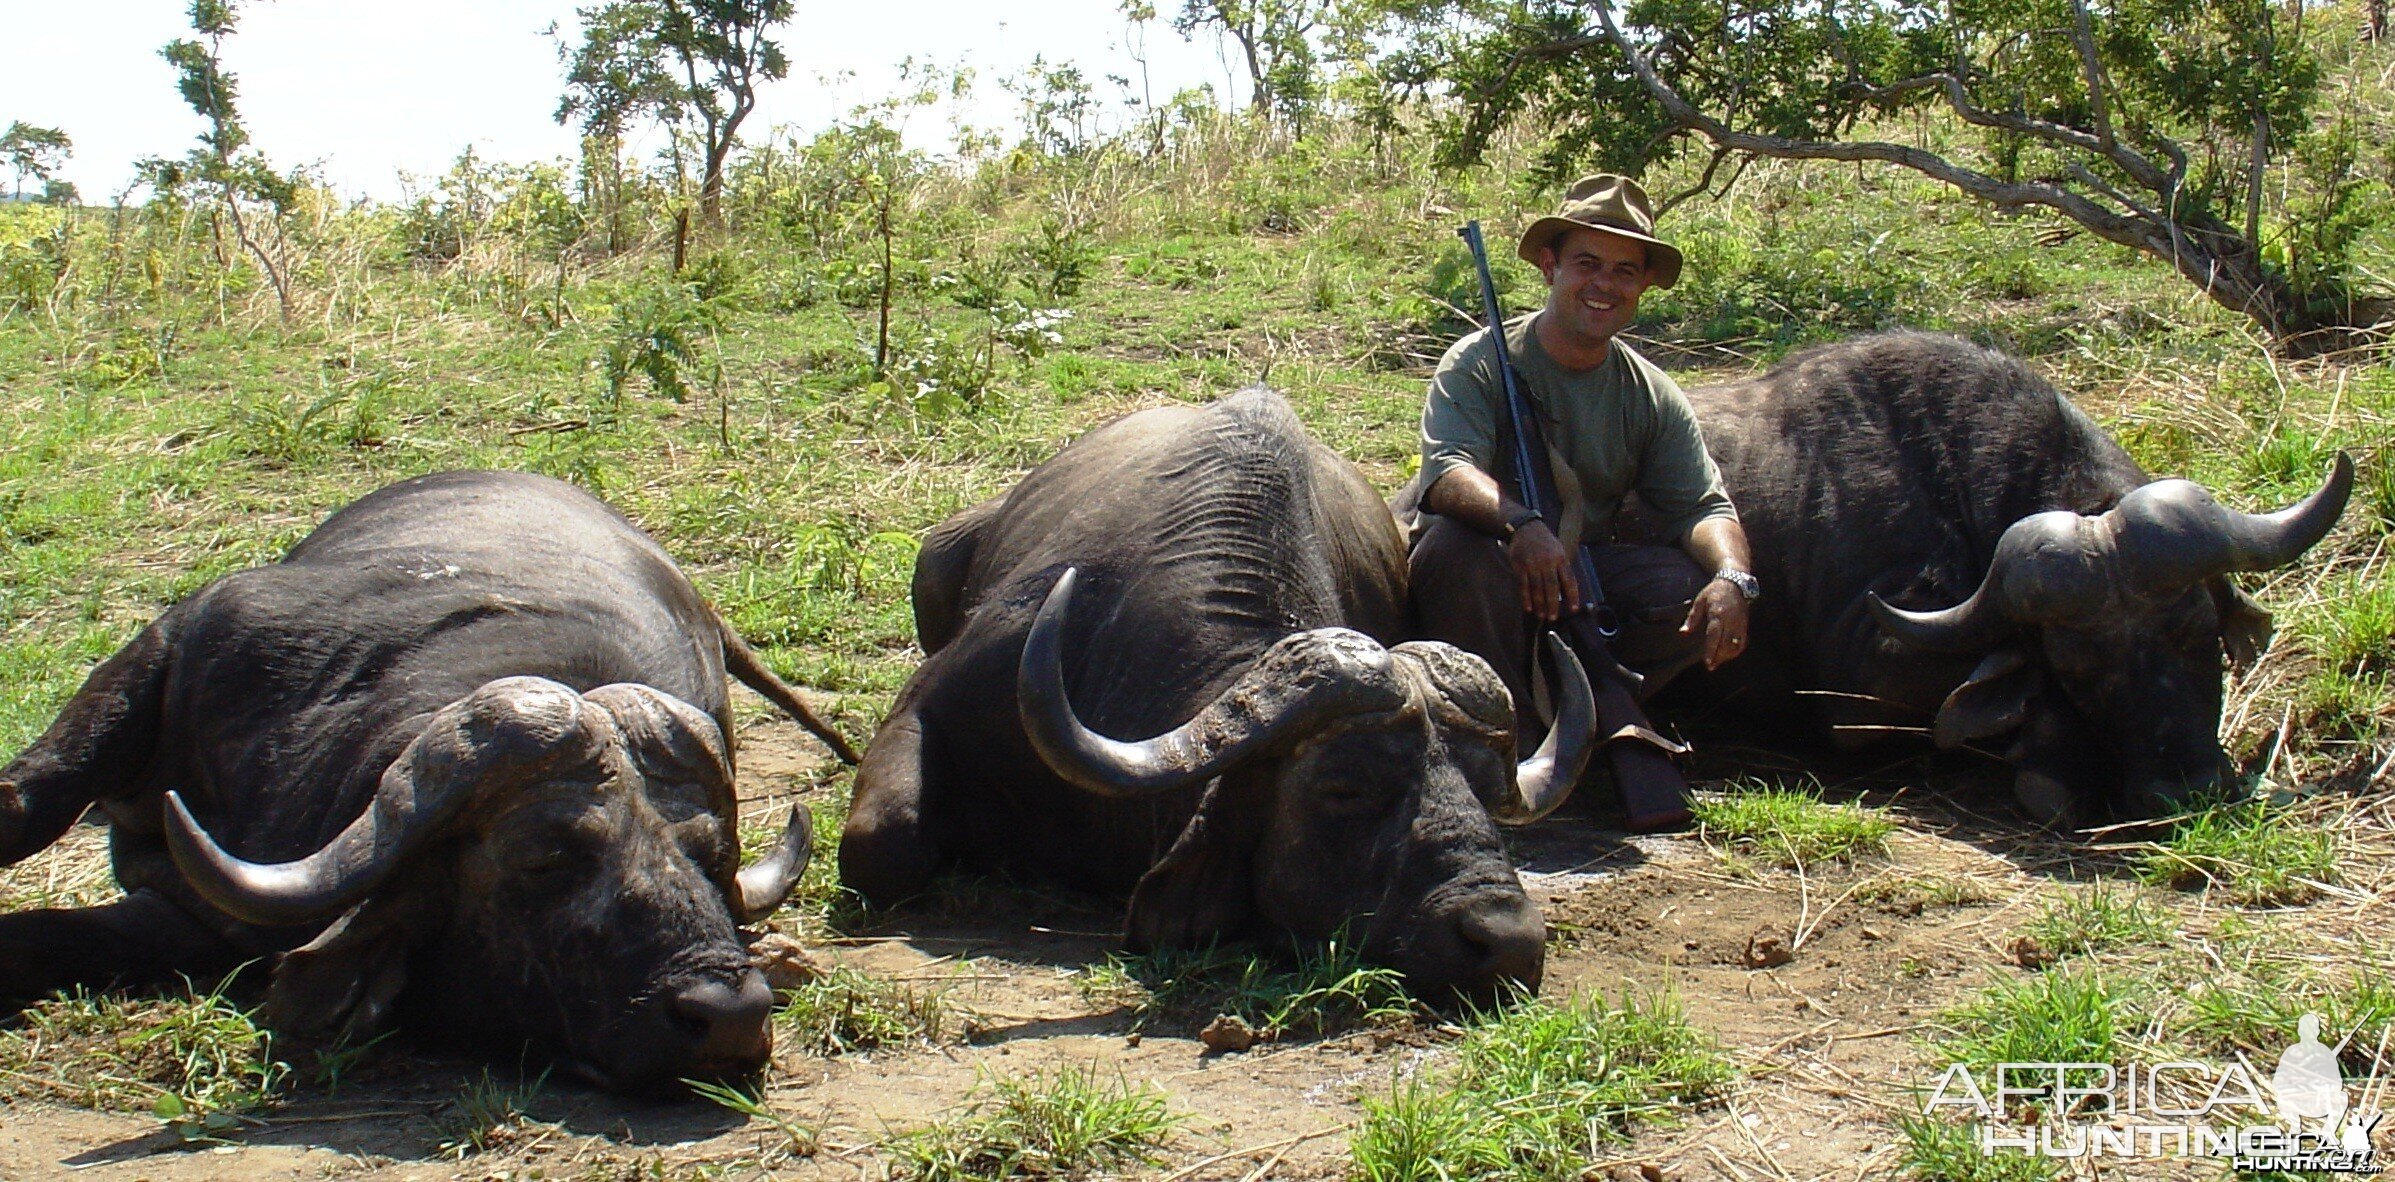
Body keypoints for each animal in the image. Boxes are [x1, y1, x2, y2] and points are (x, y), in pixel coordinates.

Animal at [0, 468, 862, 1091]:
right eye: (543, 857)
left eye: (711, 859)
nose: (728, 1015)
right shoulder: (183, 637)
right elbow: (28, 802)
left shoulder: (199, 923)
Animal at [1676, 332, 2347, 823]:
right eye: (2076, 666)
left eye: (2199, 633)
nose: (2185, 790)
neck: (1943, 471)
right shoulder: (1862, 693)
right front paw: (2054, 769)